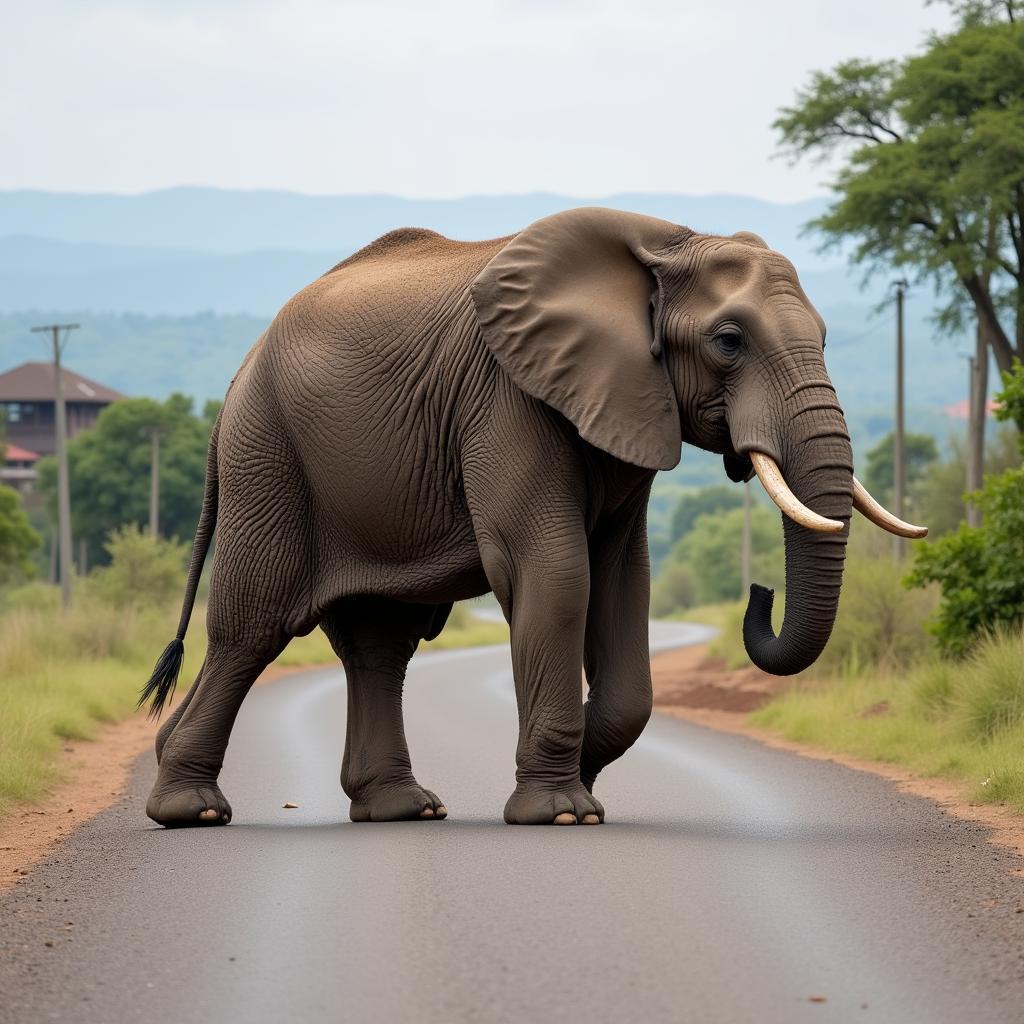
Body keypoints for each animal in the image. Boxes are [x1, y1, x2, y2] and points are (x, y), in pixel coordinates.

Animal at [140, 203, 925, 827]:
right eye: (729, 341)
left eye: (824, 339)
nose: (760, 594)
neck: (665, 246)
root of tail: (235, 381)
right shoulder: (507, 397)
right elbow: (557, 572)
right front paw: (563, 813)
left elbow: (623, 583)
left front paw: (584, 786)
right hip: (269, 454)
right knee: (253, 626)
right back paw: (191, 809)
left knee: (380, 643)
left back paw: (402, 808)